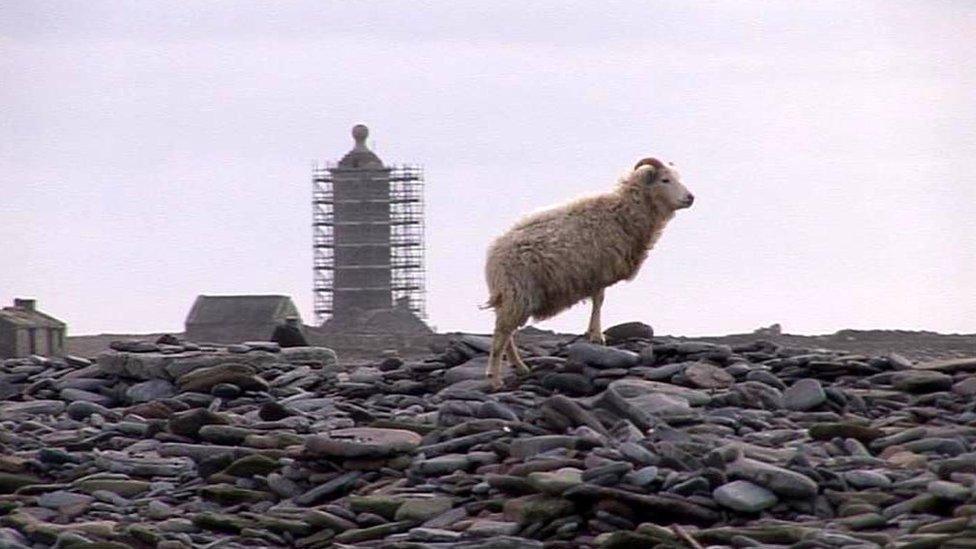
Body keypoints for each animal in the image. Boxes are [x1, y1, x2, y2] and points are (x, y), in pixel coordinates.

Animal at [480, 157, 692, 390]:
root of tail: (493, 256)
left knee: (507, 332)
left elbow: (597, 301)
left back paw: (519, 366)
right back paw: (495, 379)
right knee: (501, 333)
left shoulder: (595, 273)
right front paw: (597, 336)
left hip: (512, 297)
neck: (622, 212)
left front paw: (593, 334)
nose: (690, 198)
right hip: (518, 292)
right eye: (665, 180)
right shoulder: (598, 269)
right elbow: (599, 301)